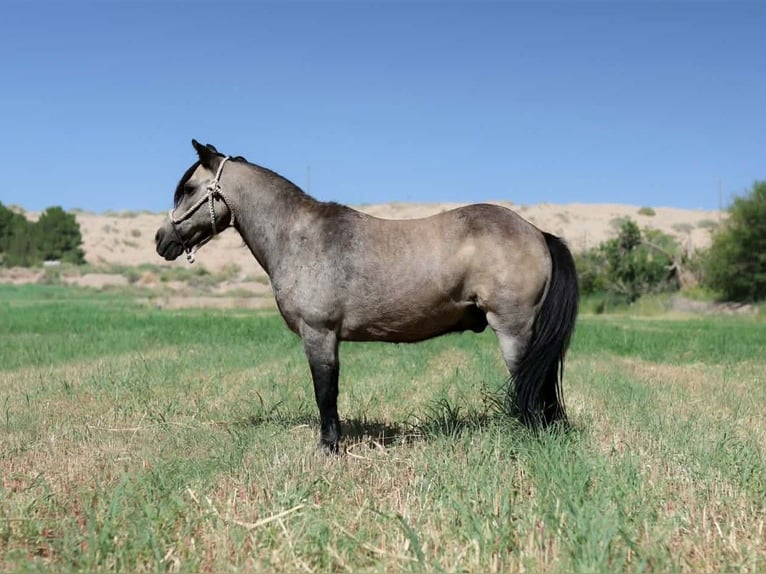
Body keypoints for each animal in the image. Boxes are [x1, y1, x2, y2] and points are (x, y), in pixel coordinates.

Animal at [155, 140, 579, 453]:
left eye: (188, 189)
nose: (162, 240)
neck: (299, 236)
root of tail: (538, 233)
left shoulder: (319, 334)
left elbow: (325, 392)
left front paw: (328, 447)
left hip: (513, 331)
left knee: (531, 383)